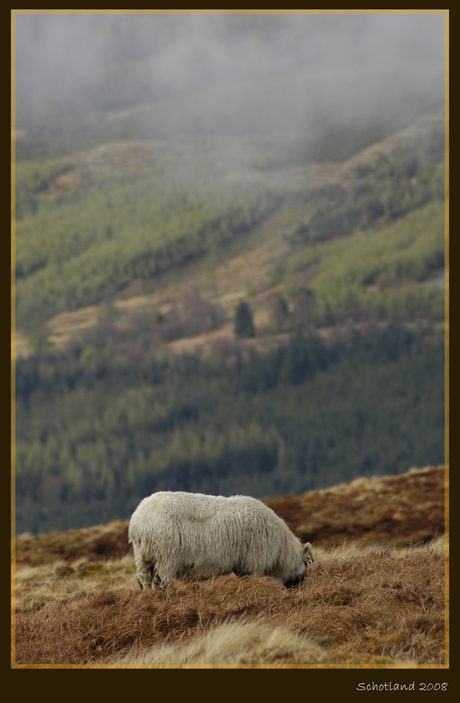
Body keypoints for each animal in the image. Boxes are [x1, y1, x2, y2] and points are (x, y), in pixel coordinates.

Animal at [128, 492, 316, 592]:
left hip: (143, 557)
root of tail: (139, 521)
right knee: (161, 582)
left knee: (144, 582)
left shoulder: (242, 564)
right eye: (305, 567)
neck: (281, 550)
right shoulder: (253, 562)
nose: (298, 590)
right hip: (166, 557)